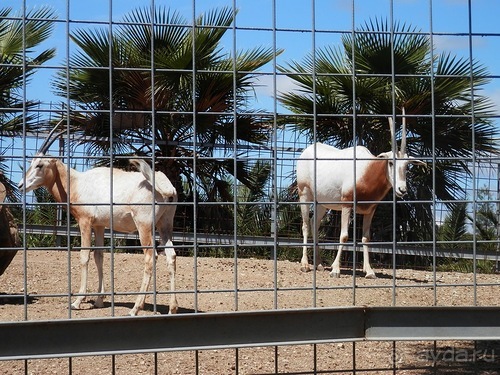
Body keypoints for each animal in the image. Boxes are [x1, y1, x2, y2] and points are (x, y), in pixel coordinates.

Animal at [296, 111, 426, 280]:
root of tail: (307, 151)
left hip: (322, 203)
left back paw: (318, 264)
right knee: (305, 225)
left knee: (314, 223)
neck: (365, 171)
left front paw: (369, 271)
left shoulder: (370, 210)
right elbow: (344, 235)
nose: (402, 189)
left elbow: (366, 238)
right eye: (391, 162)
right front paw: (336, 269)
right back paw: (305, 264)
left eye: (406, 165)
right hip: (304, 194)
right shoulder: (346, 204)